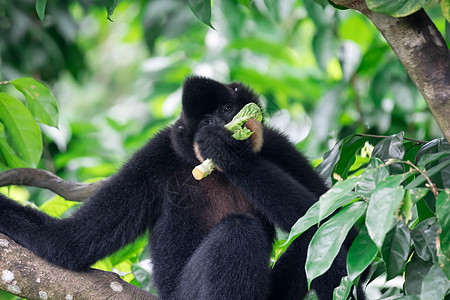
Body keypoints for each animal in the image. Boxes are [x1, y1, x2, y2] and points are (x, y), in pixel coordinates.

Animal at [0, 76, 362, 298]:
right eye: (206, 122)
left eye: (227, 109)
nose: (225, 125)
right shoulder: (154, 157)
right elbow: (70, 242)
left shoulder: (276, 145)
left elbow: (343, 218)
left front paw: (231, 156)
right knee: (237, 232)